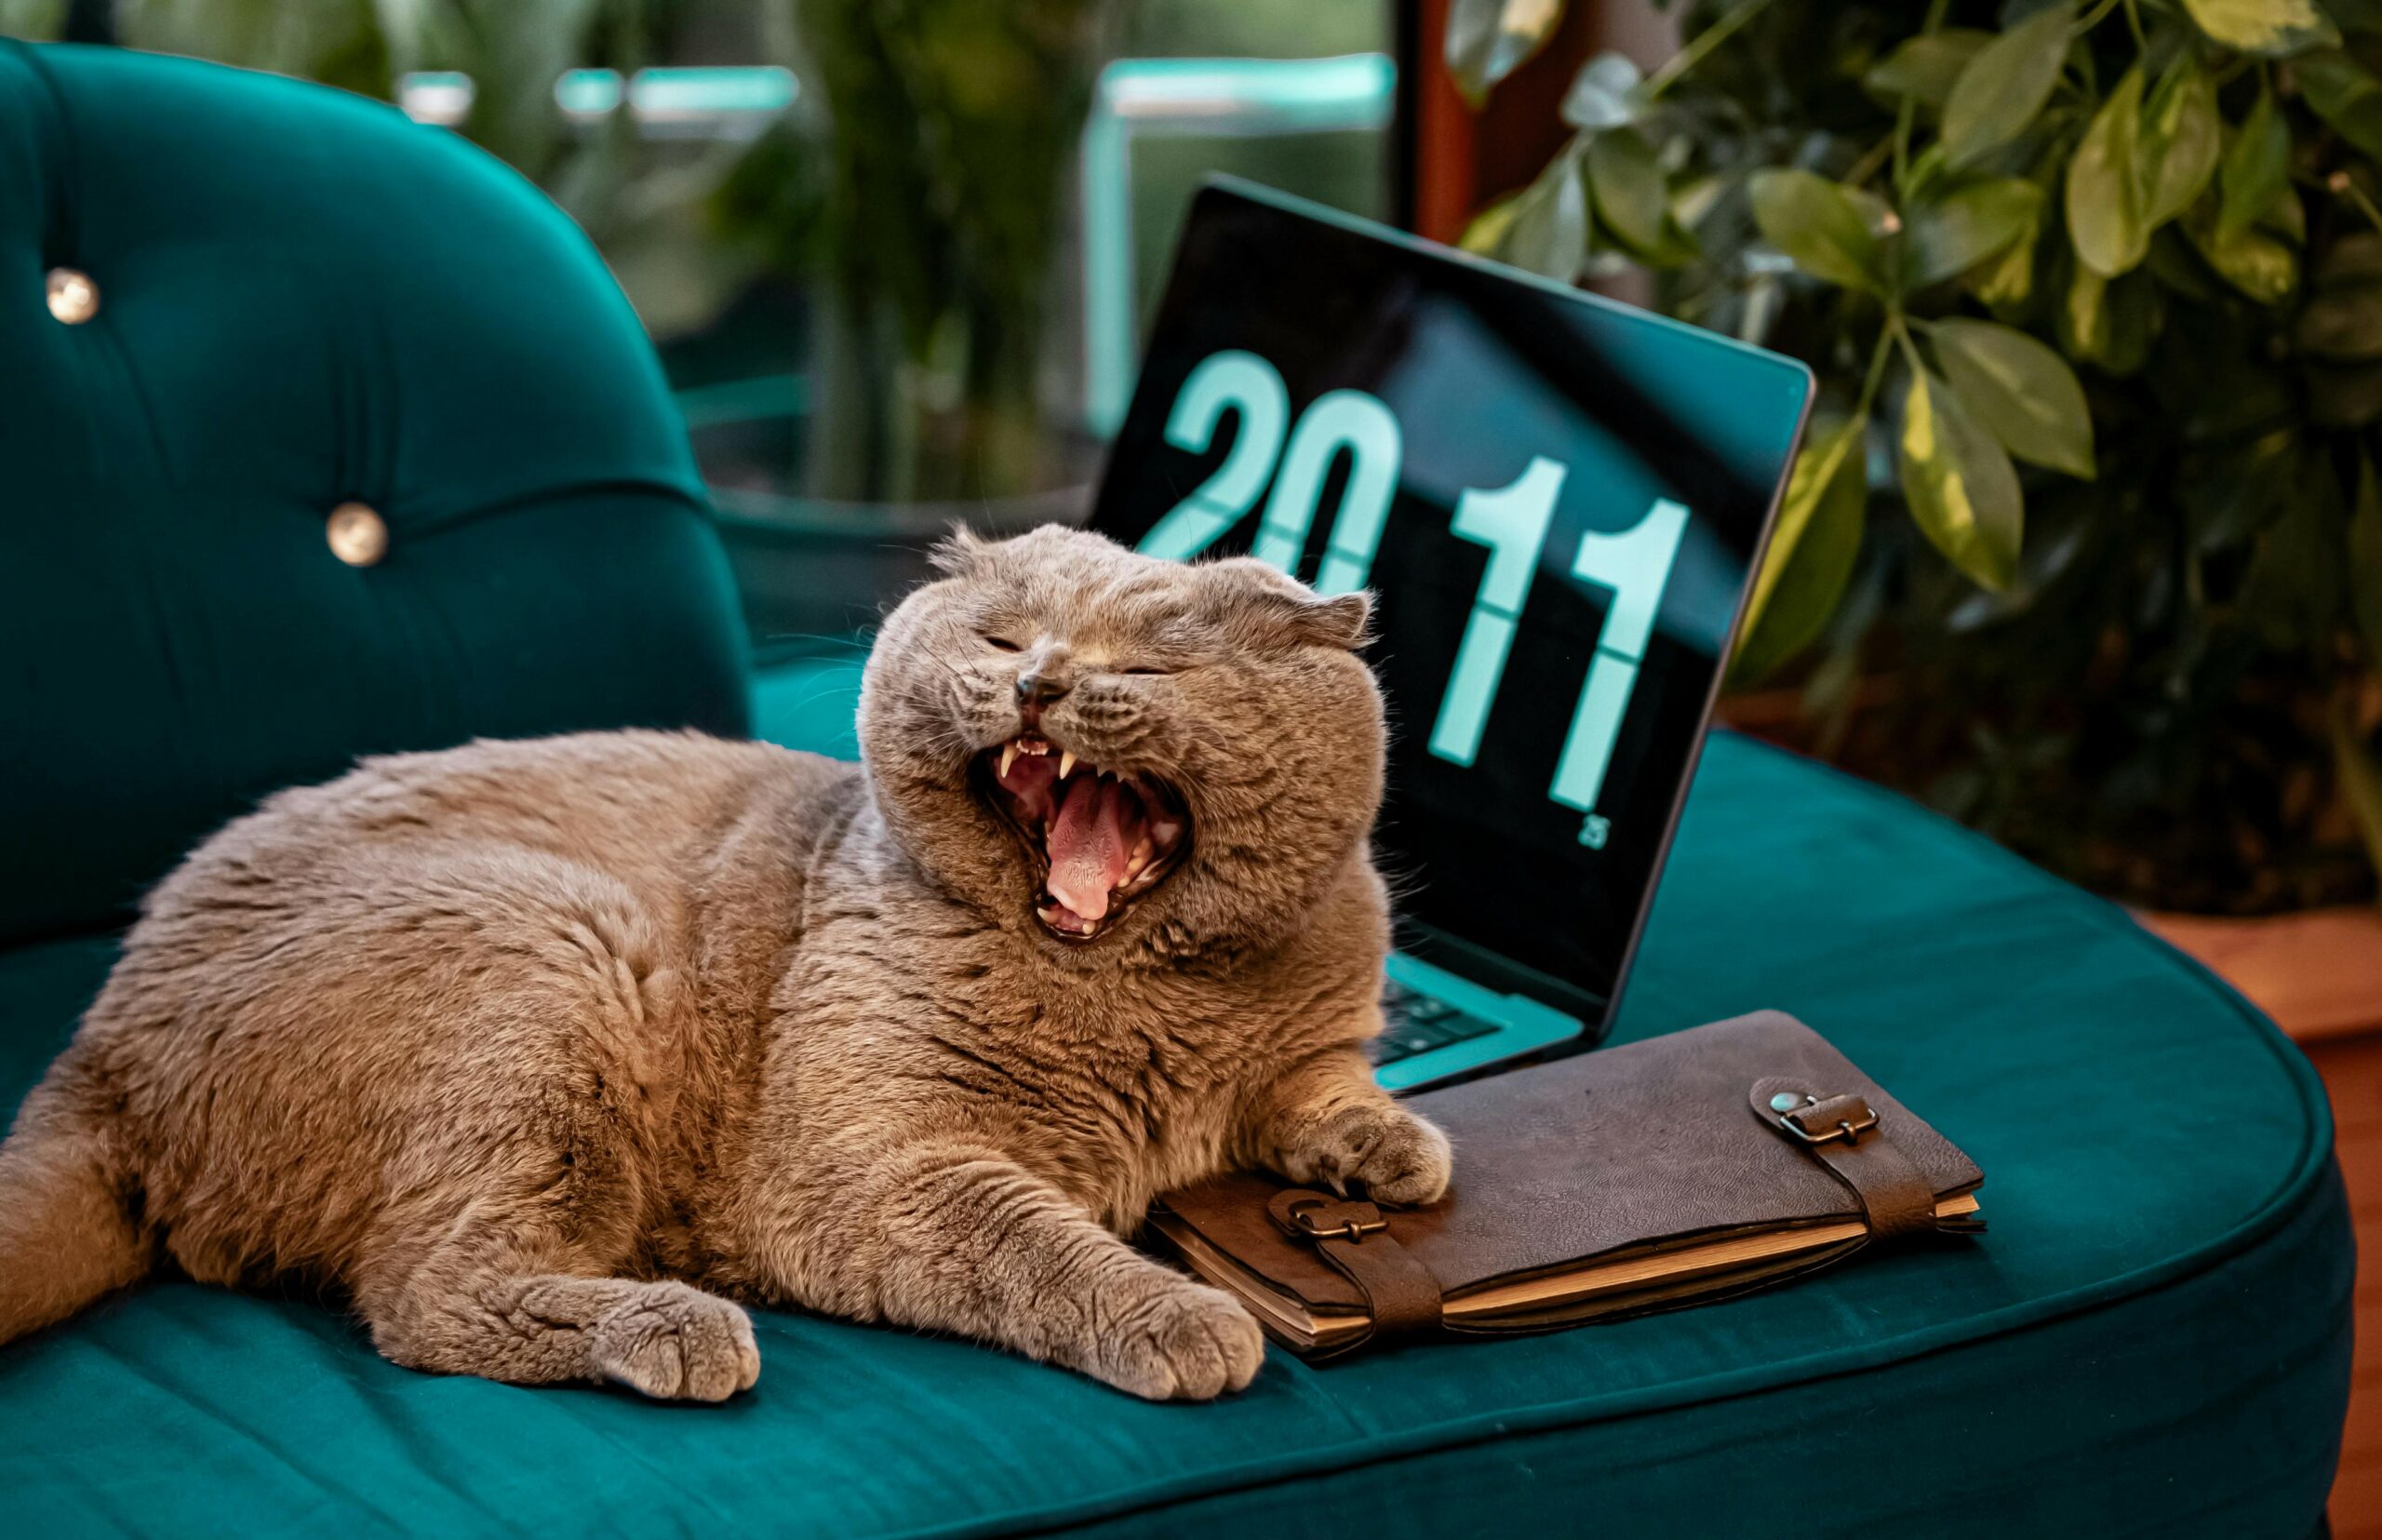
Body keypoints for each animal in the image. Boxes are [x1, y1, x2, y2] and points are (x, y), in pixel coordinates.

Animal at [0, 524, 1448, 1401]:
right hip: (551, 959)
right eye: (999, 638)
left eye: (1145, 663)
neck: (1148, 998)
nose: (1038, 683)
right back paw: (671, 1325)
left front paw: (1389, 1147)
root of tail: (95, 1048)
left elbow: (1321, 1077)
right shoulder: (873, 1168)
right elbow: (1033, 1235)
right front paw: (1181, 1315)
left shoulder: (1313, 1021)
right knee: (423, 1294)